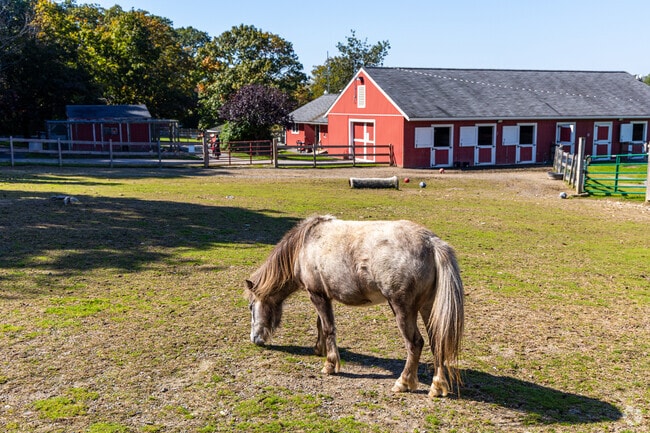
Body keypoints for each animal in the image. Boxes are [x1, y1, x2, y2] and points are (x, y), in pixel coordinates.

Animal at [245, 215, 464, 398]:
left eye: (250, 306)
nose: (255, 339)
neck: (305, 244)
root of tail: (431, 242)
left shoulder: (316, 295)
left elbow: (328, 328)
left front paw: (330, 365)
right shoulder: (324, 296)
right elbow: (320, 325)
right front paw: (319, 349)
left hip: (403, 309)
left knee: (415, 343)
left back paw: (403, 383)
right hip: (428, 307)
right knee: (437, 341)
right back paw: (437, 387)